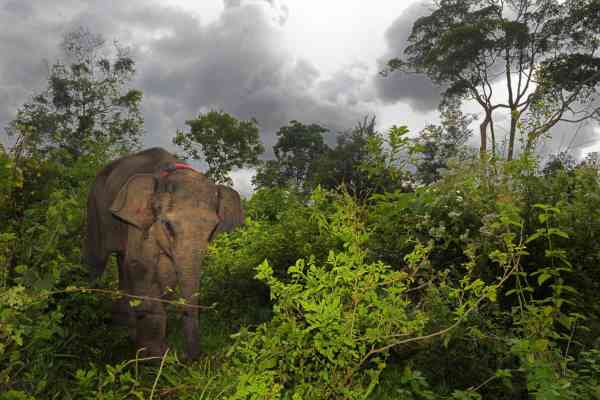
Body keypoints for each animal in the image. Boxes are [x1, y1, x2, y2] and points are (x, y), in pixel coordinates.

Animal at [83, 147, 243, 360]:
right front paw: (154, 356)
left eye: (212, 230)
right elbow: (142, 265)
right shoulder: (143, 222)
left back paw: (124, 326)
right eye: (168, 225)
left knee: (122, 261)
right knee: (97, 259)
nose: (190, 357)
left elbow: (166, 275)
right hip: (94, 206)